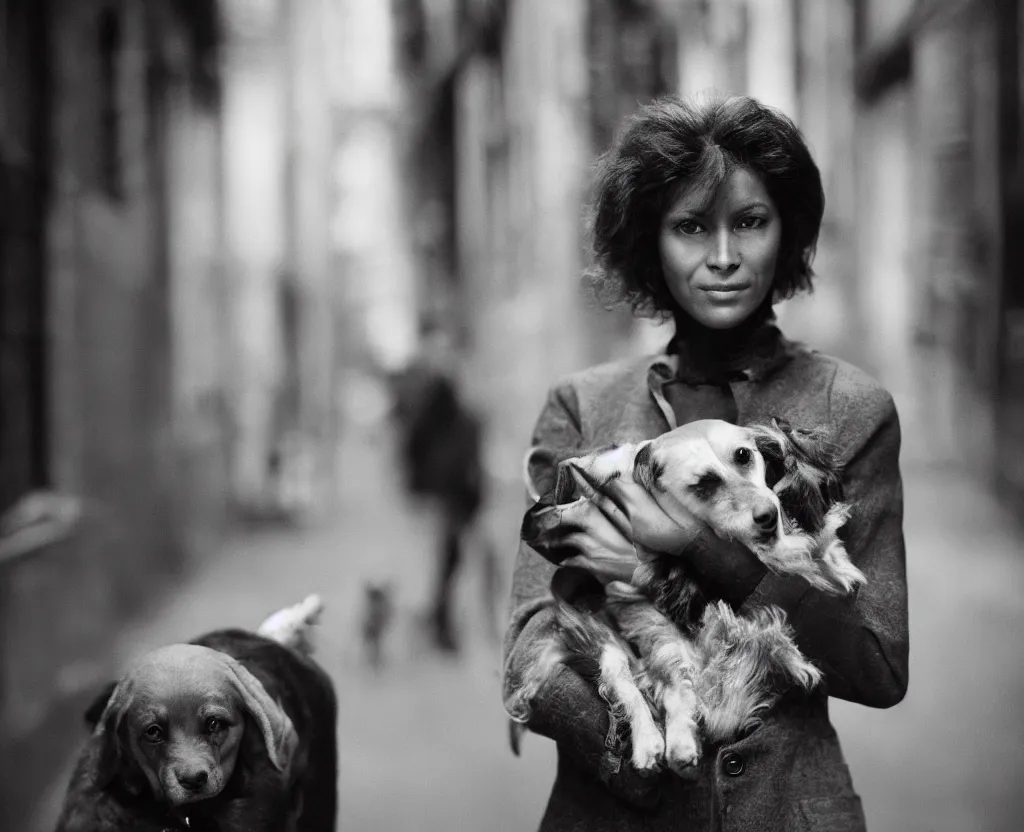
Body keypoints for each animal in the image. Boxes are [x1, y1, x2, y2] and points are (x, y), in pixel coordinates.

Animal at [503, 420, 864, 778]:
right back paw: (651, 742)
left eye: (744, 455)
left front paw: (834, 566)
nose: (768, 516)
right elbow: (672, 680)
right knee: (632, 688)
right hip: (606, 644)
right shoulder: (638, 611)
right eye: (703, 483)